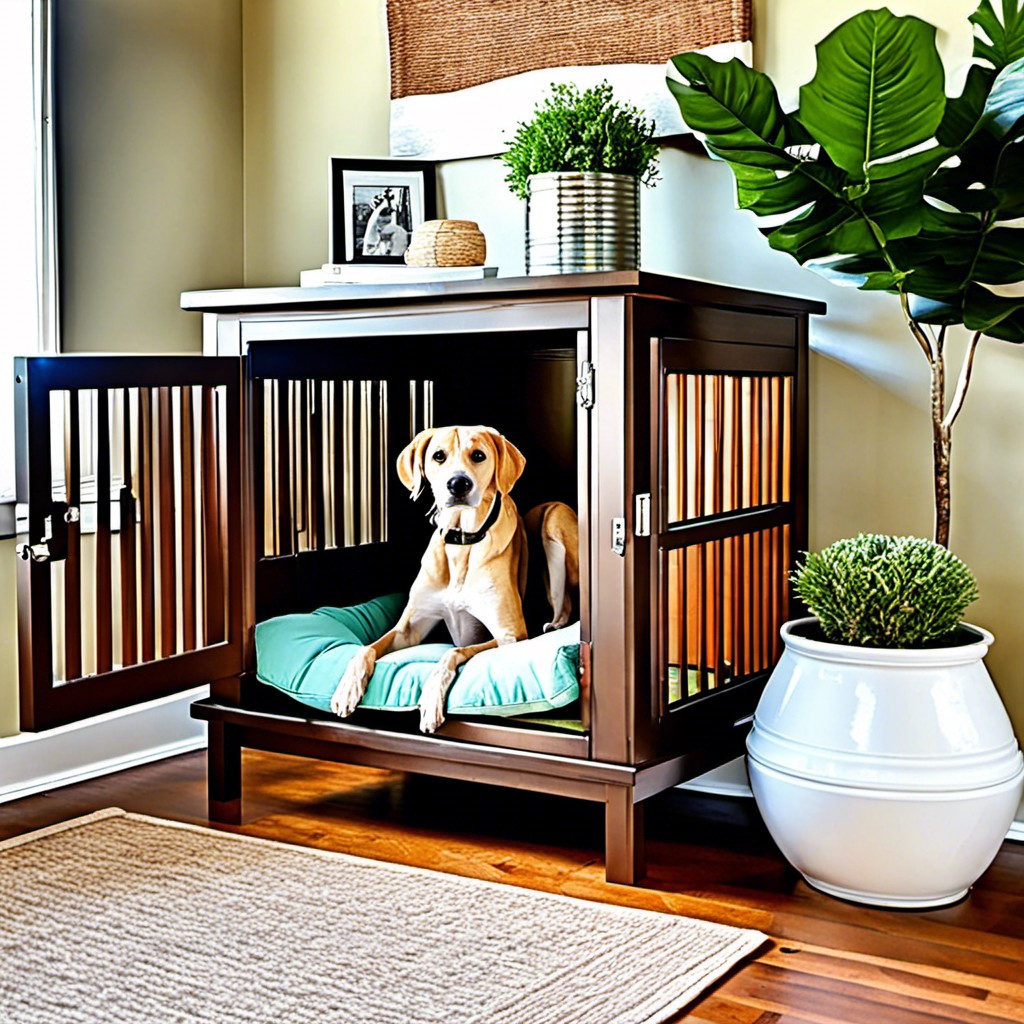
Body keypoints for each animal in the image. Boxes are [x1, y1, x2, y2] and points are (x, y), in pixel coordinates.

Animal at [333, 425, 581, 737]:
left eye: (478, 455)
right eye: (439, 456)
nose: (458, 484)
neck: (462, 543)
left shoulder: (508, 636)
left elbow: (452, 652)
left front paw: (430, 700)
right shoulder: (409, 629)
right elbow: (367, 648)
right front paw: (347, 687)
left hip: (554, 515)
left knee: (566, 605)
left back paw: (555, 625)